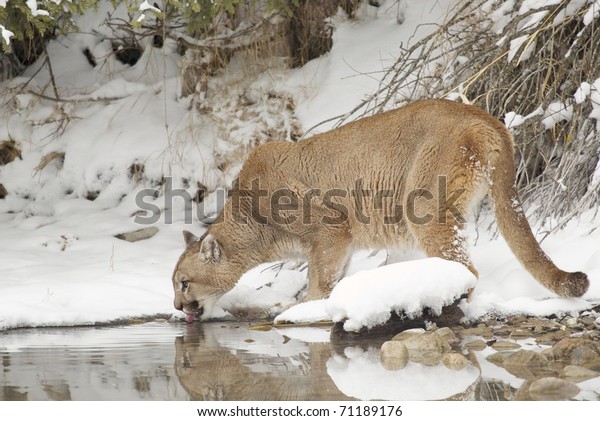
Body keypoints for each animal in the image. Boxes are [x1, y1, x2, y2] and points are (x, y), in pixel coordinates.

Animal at [171, 99, 588, 322]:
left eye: (184, 282)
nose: (176, 306)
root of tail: (485, 116)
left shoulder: (331, 229)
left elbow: (320, 279)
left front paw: (302, 311)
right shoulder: (342, 242)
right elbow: (334, 275)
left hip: (422, 203)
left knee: (465, 269)